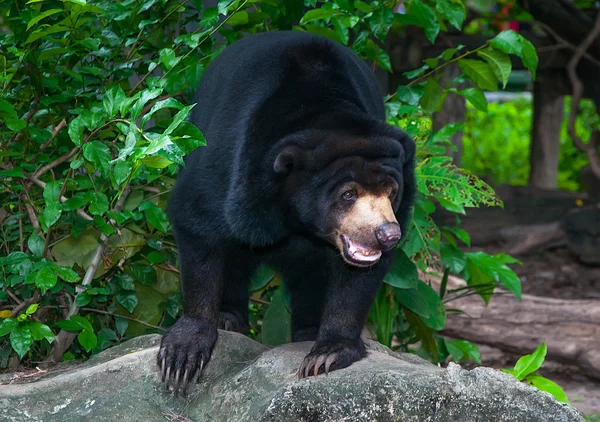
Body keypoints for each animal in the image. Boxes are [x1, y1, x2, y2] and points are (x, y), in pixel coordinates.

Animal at [157, 30, 414, 396]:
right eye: (348, 194)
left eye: (391, 192)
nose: (387, 234)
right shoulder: (231, 168)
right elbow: (198, 223)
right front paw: (183, 354)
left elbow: (357, 278)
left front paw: (327, 354)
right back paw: (229, 318)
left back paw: (307, 330)